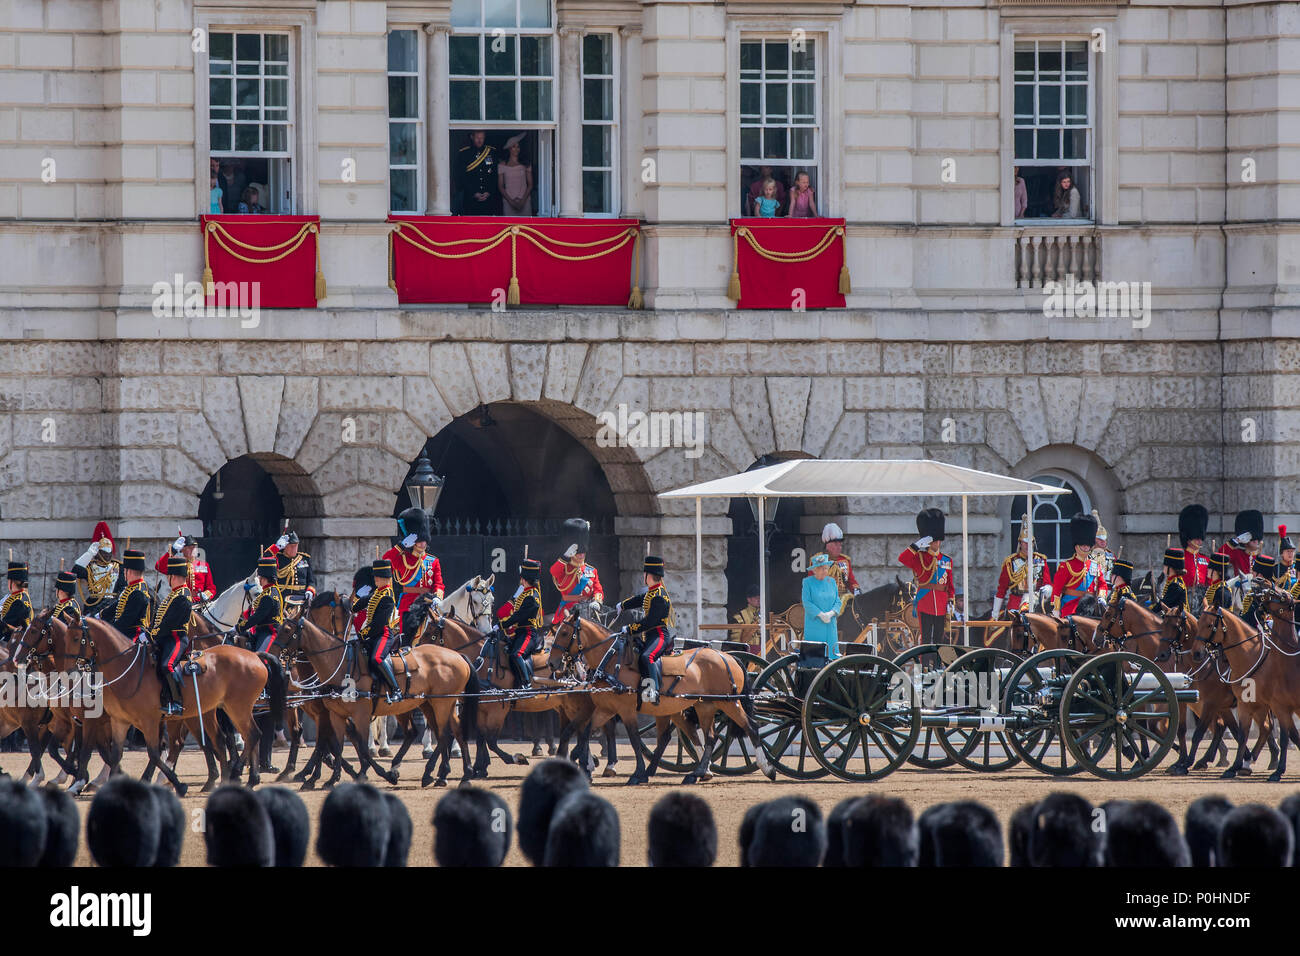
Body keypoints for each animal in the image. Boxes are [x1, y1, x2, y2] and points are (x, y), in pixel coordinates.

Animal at [546, 613, 769, 785]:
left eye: (564, 633)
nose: (552, 663)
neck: (612, 660)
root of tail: (727, 656)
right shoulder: (605, 709)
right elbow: (585, 733)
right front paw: (583, 764)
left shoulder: (626, 710)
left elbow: (634, 739)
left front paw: (637, 773)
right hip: (703, 705)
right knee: (707, 737)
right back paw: (697, 772)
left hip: (728, 702)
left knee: (750, 727)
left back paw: (766, 768)